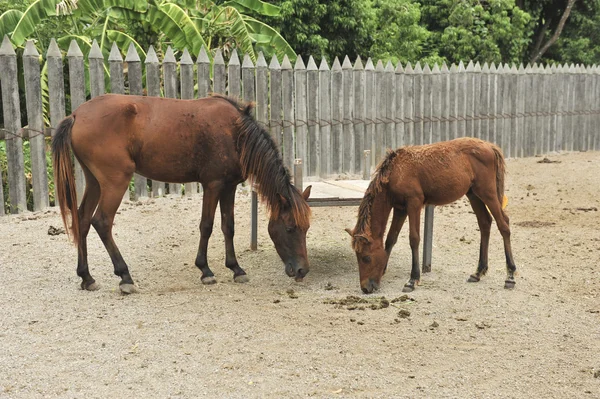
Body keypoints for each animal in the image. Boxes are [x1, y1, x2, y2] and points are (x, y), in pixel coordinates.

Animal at [52, 94, 312, 294]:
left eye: (306, 228)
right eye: (290, 228)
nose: (303, 270)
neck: (236, 132)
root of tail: (76, 115)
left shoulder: (229, 186)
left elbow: (228, 227)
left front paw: (236, 269)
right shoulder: (213, 185)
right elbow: (206, 225)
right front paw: (205, 270)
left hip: (94, 182)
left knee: (82, 220)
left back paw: (87, 277)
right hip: (115, 181)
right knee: (102, 222)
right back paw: (125, 276)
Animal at [346, 138, 516, 294]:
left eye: (366, 258)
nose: (366, 288)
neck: (396, 171)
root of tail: (490, 146)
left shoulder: (413, 204)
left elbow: (414, 239)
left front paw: (412, 280)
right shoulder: (400, 208)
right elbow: (390, 238)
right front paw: (383, 271)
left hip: (487, 193)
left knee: (504, 225)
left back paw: (510, 276)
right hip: (473, 194)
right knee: (485, 223)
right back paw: (478, 272)